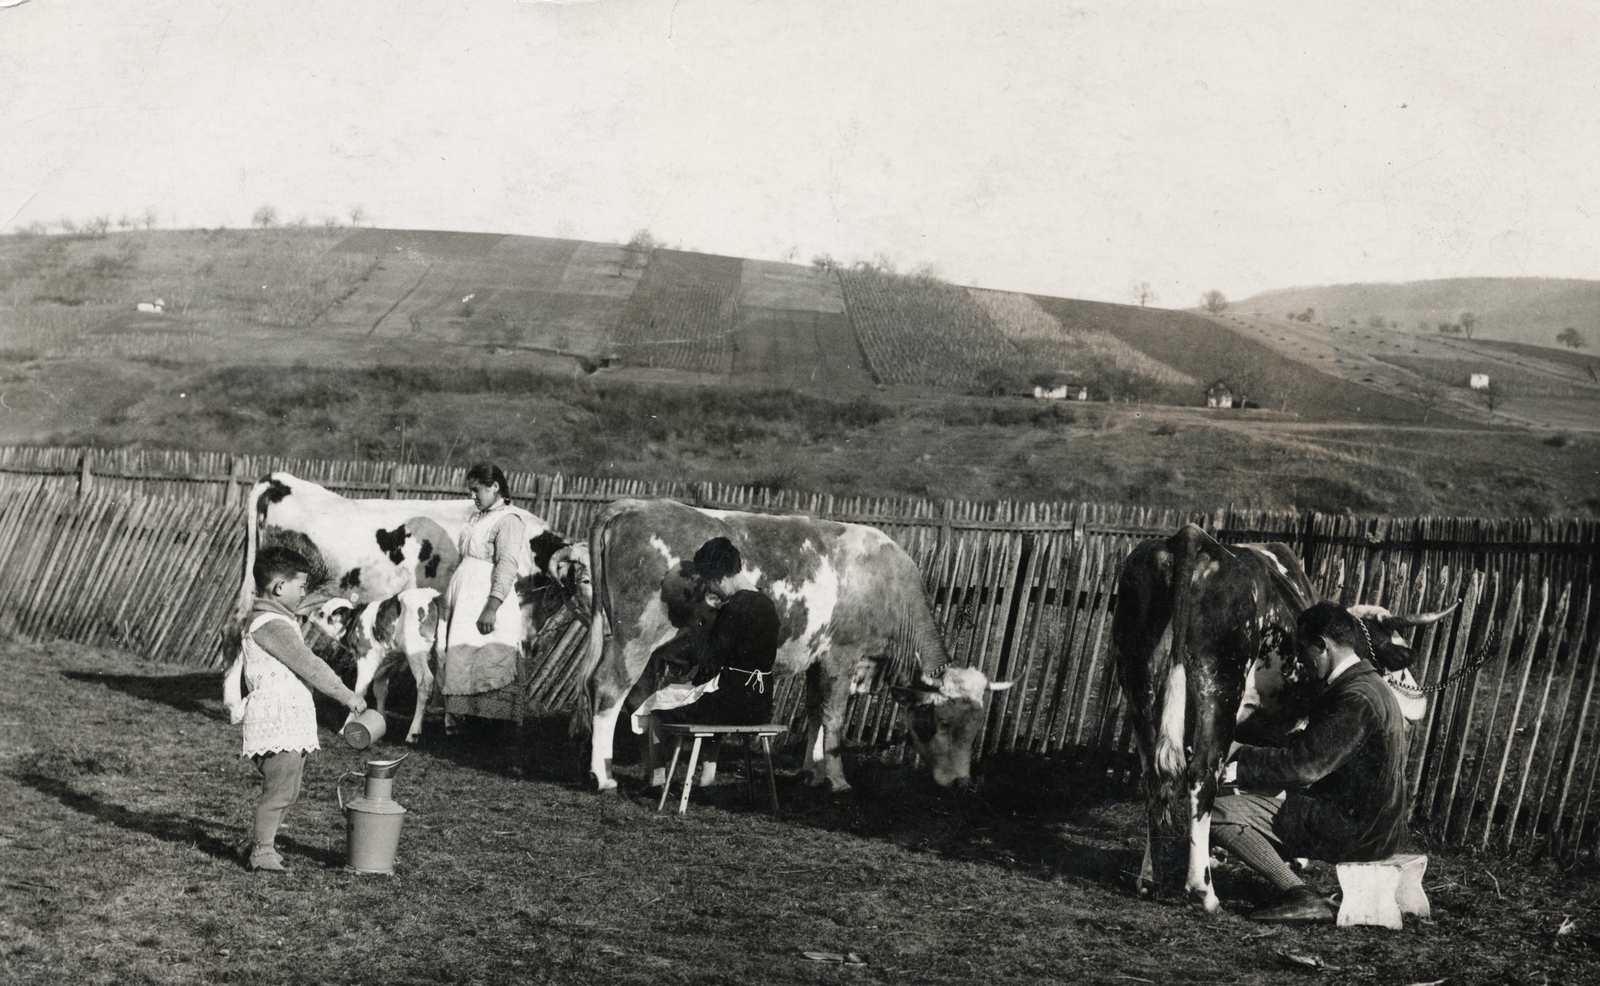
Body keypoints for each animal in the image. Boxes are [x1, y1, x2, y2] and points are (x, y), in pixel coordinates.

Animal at [569, 499, 1004, 793]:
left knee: (638, 702)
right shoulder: (841, 657)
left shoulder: (817, 660)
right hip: (635, 636)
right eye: (940, 722)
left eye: (975, 728)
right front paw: (837, 780)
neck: (886, 583)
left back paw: (653, 772)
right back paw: (602, 776)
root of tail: (634, 504)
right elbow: (834, 719)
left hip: (648, 650)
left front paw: (811, 771)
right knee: (608, 689)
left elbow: (813, 713)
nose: (961, 782)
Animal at [1113, 518, 1452, 915]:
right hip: (1220, 686)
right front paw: (1293, 857)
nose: (1420, 702)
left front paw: (1215, 853)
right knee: (1201, 777)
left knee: (1156, 776)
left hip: (1139, 683)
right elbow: (1287, 778)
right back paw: (1203, 892)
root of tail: (1190, 536)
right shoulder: (1296, 726)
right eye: (1390, 654)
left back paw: (1150, 878)